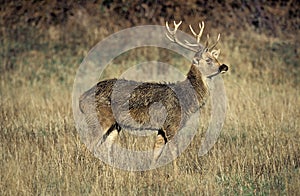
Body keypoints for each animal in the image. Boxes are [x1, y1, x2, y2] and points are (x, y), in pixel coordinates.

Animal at [78, 21, 229, 172]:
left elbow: (156, 153)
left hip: (115, 125)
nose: (224, 67)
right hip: (98, 119)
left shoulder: (161, 128)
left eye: (216, 58)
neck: (186, 99)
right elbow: (174, 150)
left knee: (106, 146)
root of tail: (81, 99)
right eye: (208, 60)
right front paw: (176, 173)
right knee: (88, 145)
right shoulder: (171, 123)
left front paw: (150, 172)